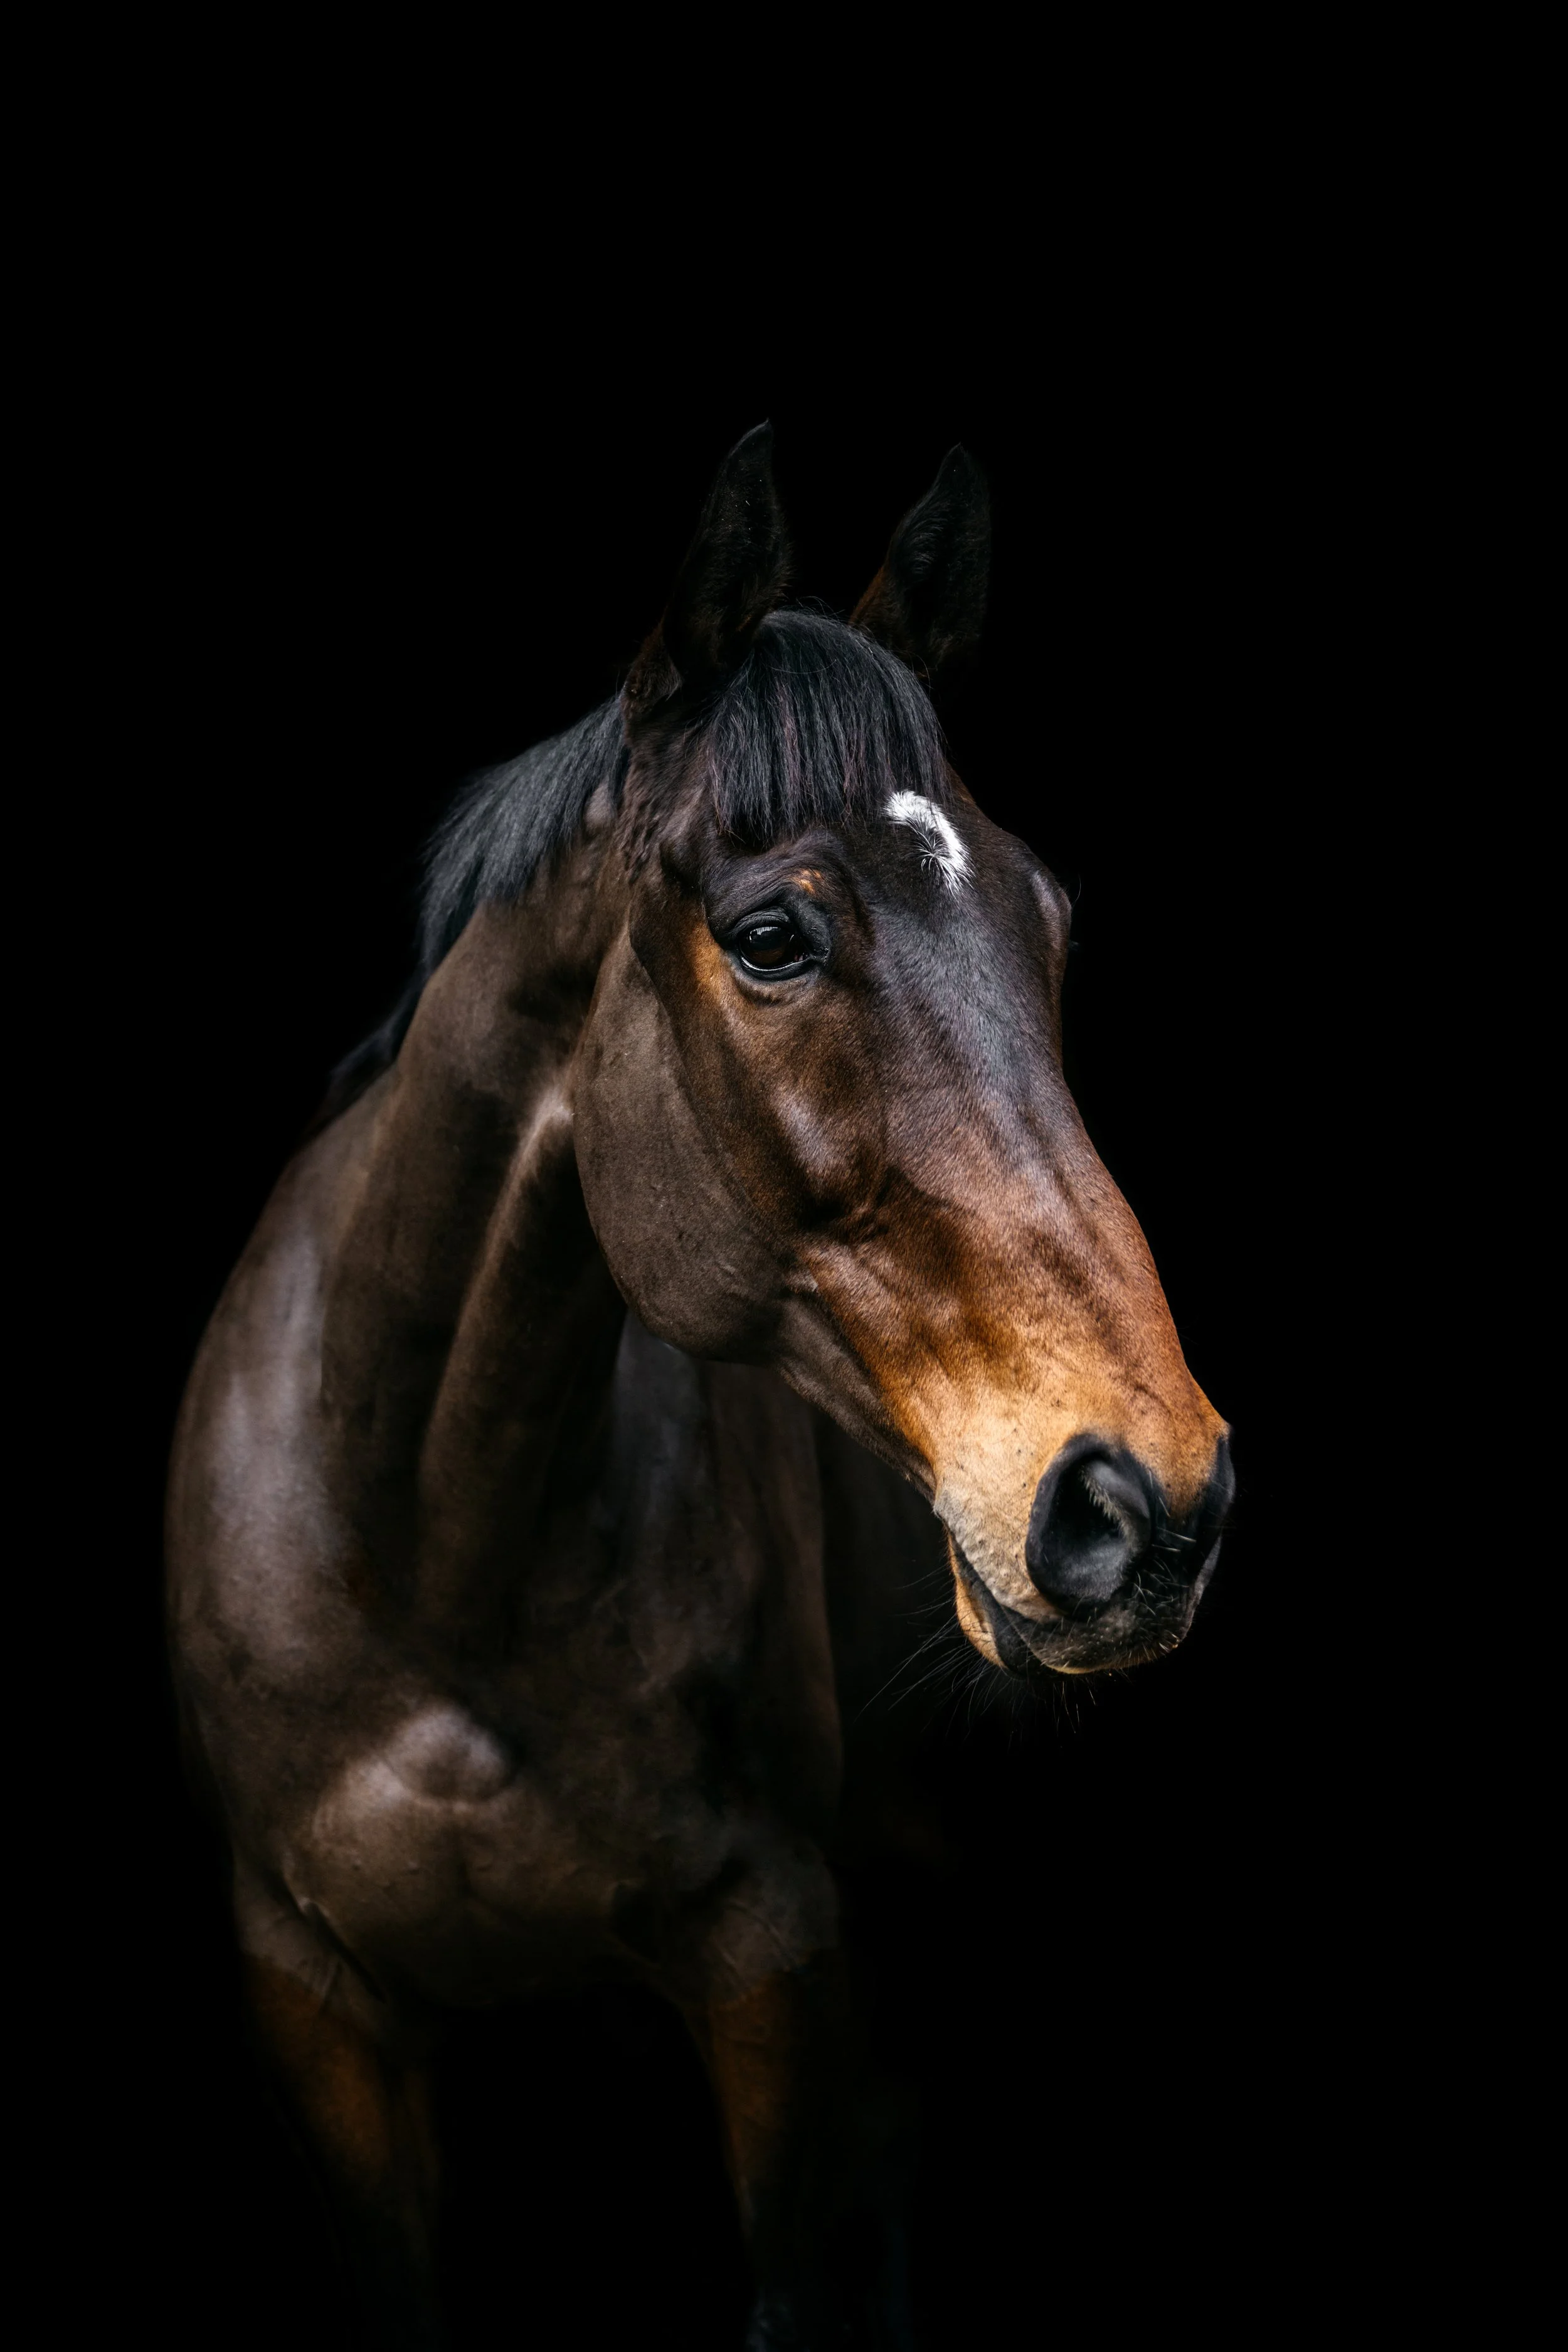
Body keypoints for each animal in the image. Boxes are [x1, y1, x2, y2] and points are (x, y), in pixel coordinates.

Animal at [166, 425, 1233, 2349]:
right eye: (771, 937)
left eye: (1044, 917)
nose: (1151, 1499)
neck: (431, 1561)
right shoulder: (314, 1999)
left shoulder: (777, 1971)